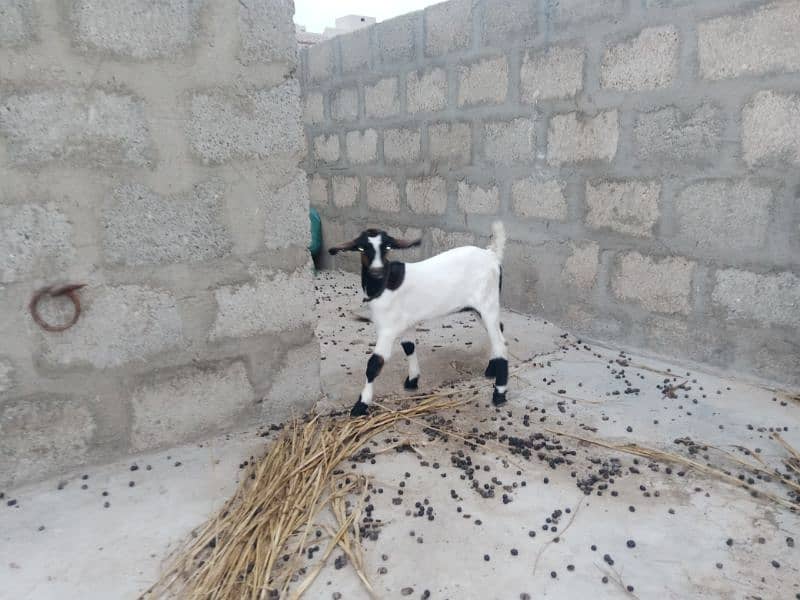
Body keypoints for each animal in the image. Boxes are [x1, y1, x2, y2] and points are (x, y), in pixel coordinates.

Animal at [330, 221, 506, 418]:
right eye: (362, 248)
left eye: (387, 247)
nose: (376, 272)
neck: (384, 283)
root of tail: (492, 254)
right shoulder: (406, 323)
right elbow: (409, 347)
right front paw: (413, 380)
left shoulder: (387, 329)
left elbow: (374, 364)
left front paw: (360, 405)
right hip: (479, 309)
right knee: (499, 331)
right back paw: (491, 370)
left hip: (488, 304)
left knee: (500, 343)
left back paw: (499, 394)